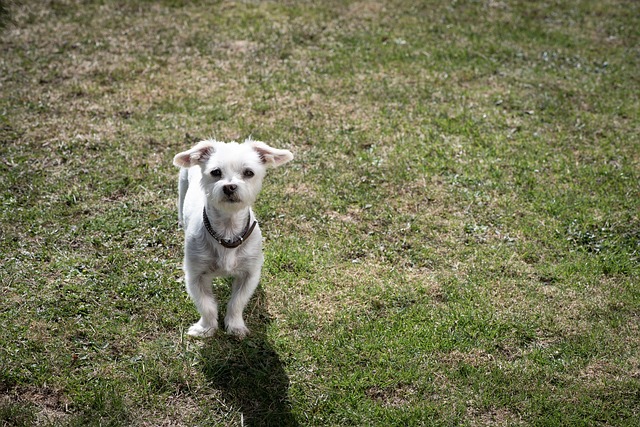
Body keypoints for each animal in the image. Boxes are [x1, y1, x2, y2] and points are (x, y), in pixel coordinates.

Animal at [171, 139, 294, 340]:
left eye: (248, 172)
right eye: (215, 172)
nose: (229, 186)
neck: (227, 231)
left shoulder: (250, 274)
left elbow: (237, 302)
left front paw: (235, 326)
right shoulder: (195, 275)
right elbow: (207, 305)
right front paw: (205, 328)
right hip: (182, 186)